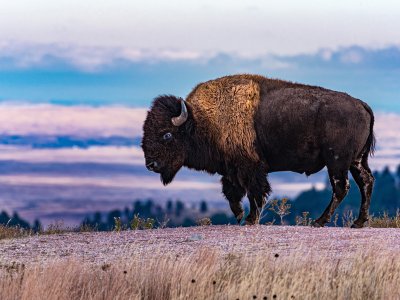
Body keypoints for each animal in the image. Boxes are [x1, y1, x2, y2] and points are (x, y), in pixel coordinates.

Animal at [141, 75, 376, 227]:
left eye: (167, 135)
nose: (150, 165)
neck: (203, 120)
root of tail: (361, 104)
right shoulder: (231, 169)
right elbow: (232, 193)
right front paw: (239, 216)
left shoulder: (250, 168)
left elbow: (254, 192)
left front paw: (249, 219)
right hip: (356, 161)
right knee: (366, 181)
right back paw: (358, 222)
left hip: (337, 162)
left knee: (341, 187)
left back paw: (319, 222)